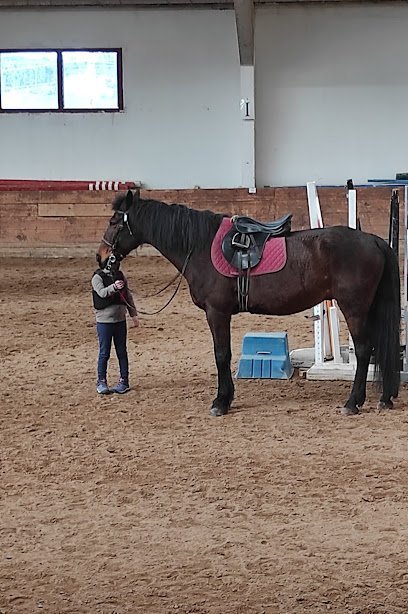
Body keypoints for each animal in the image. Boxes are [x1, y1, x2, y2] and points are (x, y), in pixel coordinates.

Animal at [97, 190, 400, 416]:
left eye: (114, 222)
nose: (101, 258)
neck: (199, 246)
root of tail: (372, 240)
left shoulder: (217, 312)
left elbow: (221, 354)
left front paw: (221, 402)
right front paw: (226, 398)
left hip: (355, 309)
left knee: (364, 350)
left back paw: (353, 402)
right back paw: (384, 397)